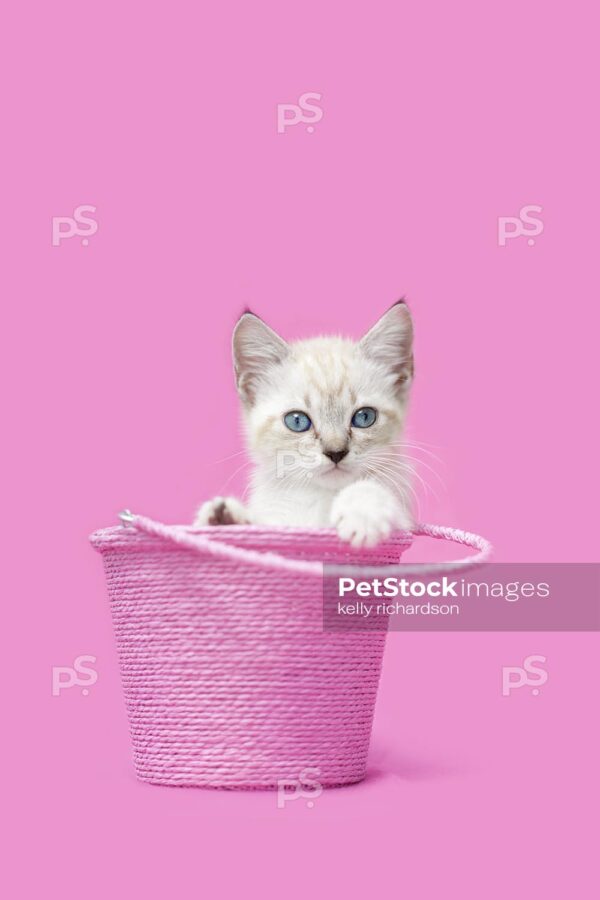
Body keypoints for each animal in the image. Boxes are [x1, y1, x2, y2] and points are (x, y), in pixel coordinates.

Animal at [195, 302, 414, 544]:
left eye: (364, 417)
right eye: (297, 421)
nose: (336, 452)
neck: (321, 498)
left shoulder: (404, 519)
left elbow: (369, 488)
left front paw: (361, 516)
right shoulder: (279, 521)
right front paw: (225, 519)